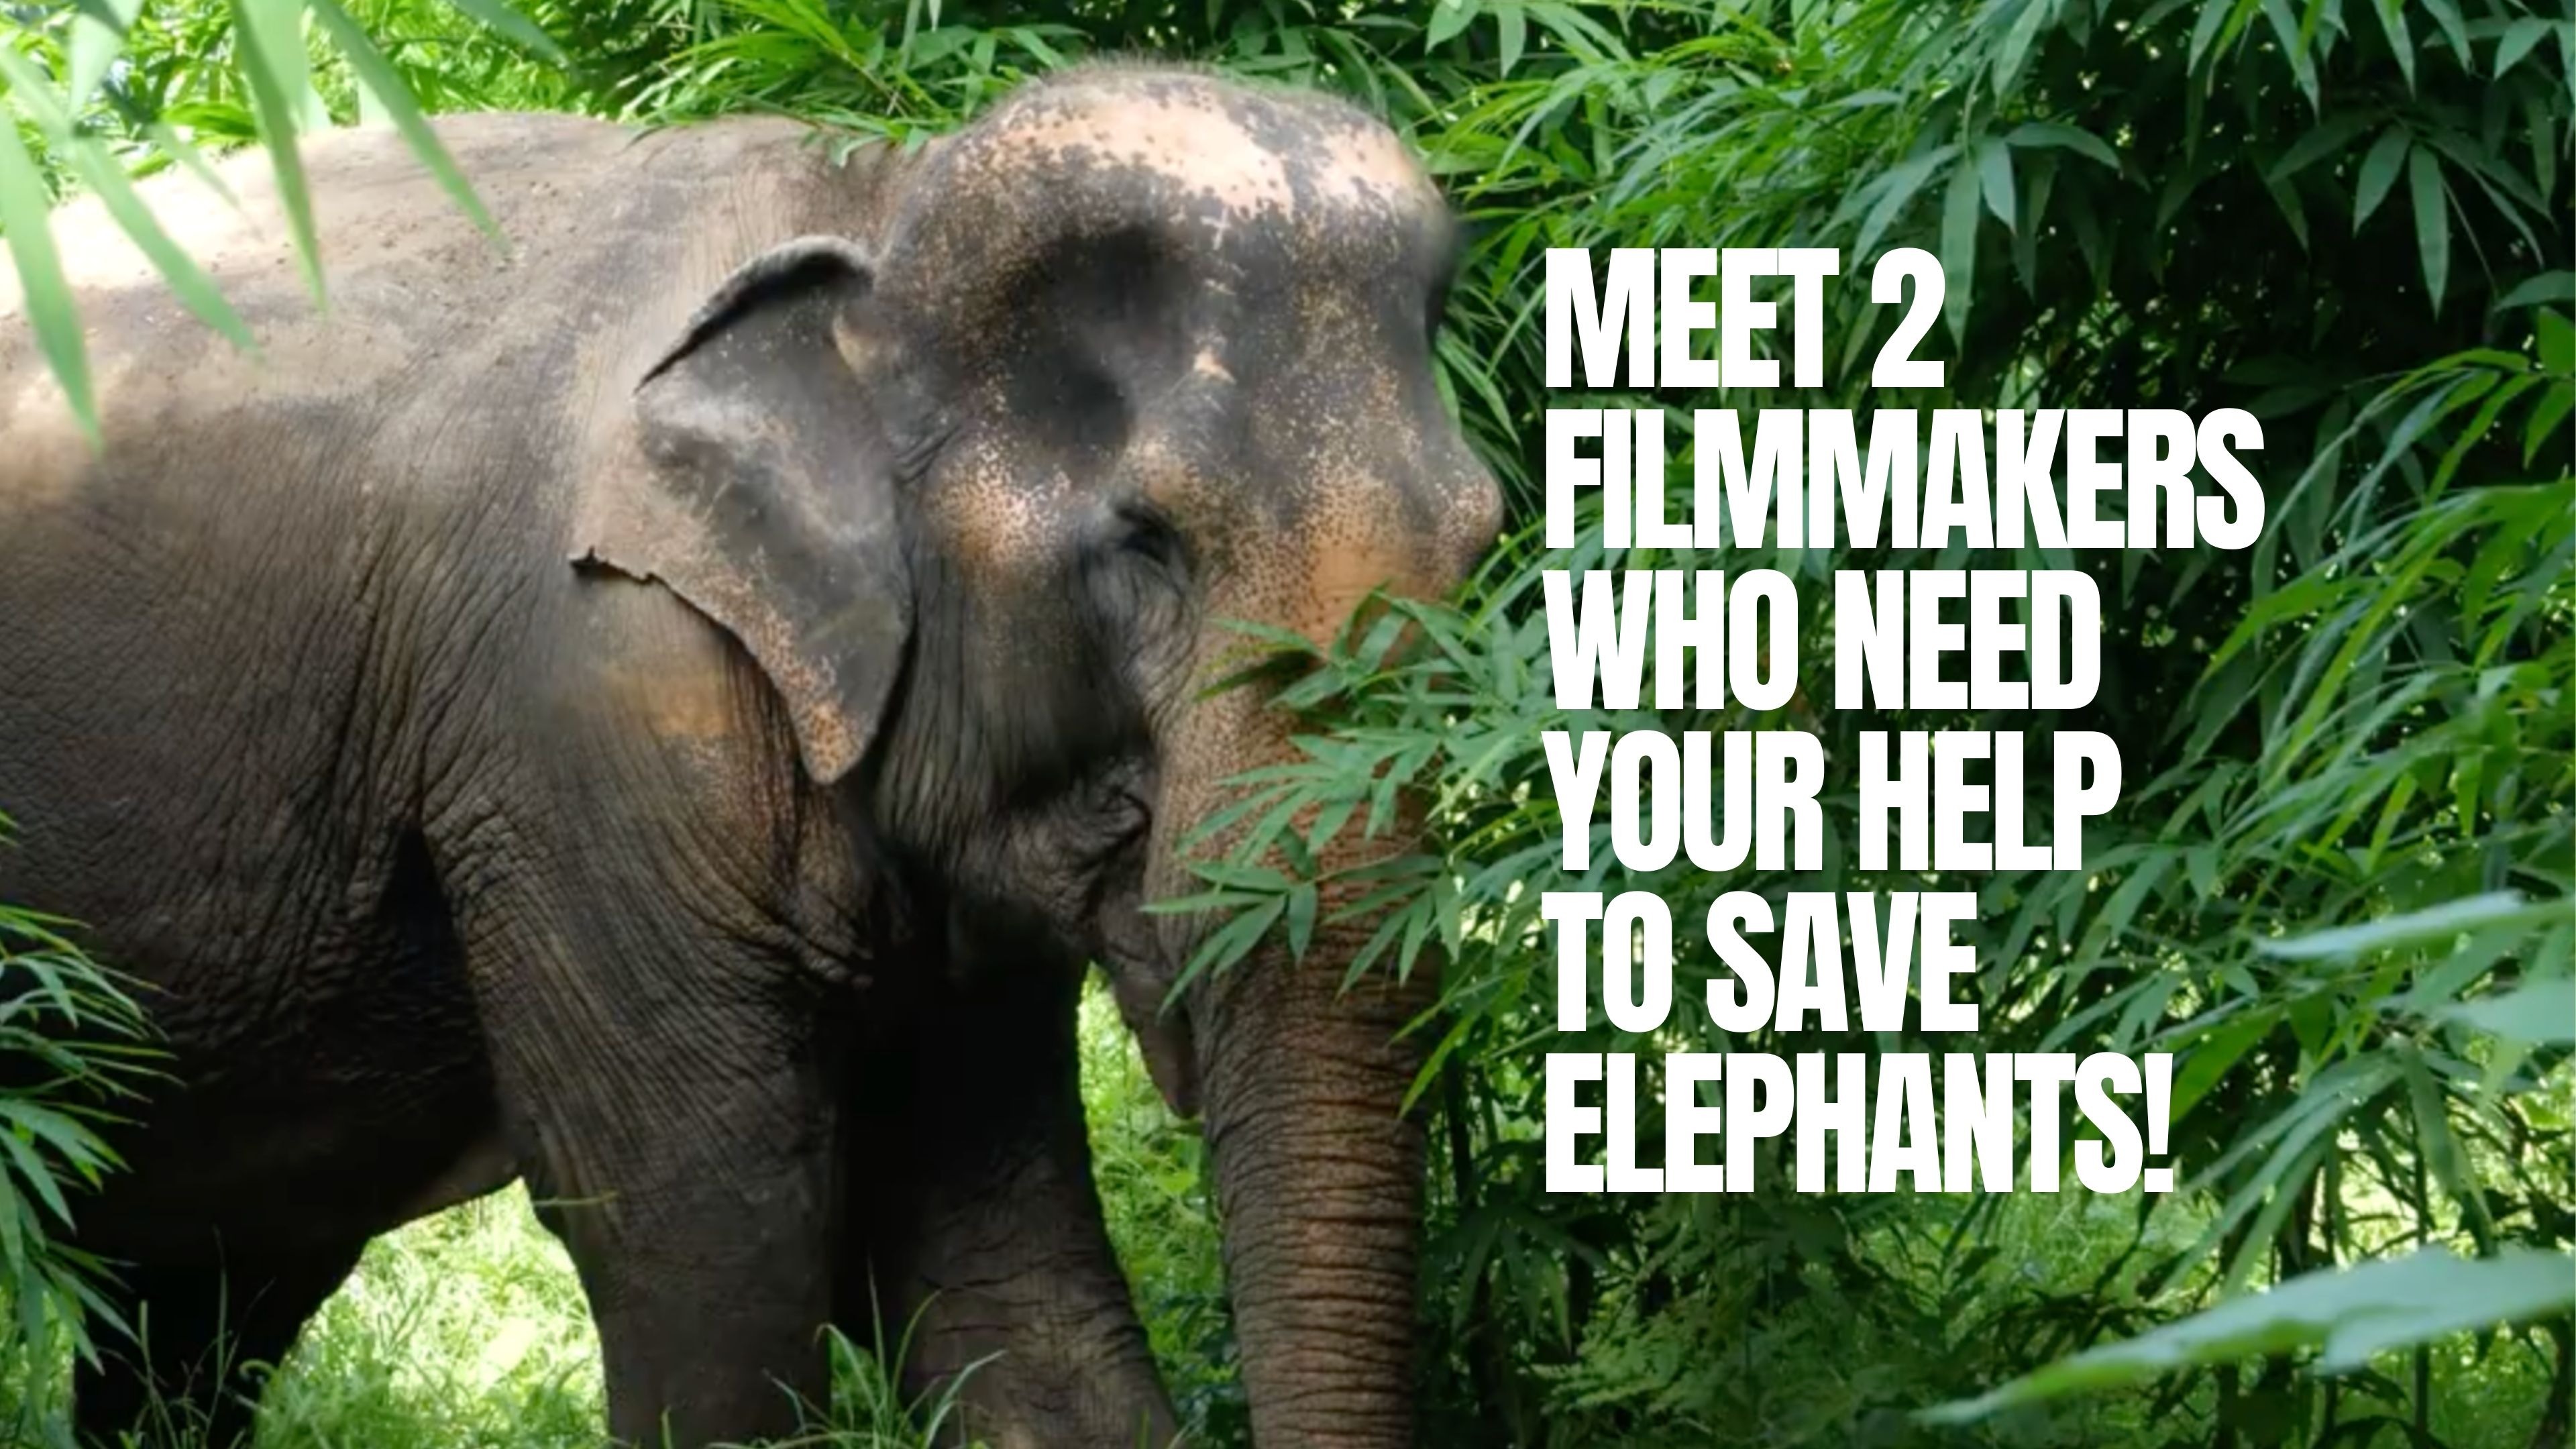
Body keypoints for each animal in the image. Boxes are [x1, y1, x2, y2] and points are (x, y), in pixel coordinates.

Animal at [0, 63, 1497, 1449]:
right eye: (1147, 548)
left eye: (1483, 544)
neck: (878, 202)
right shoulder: (589, 705)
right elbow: (712, 1231)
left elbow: (1002, 1271)